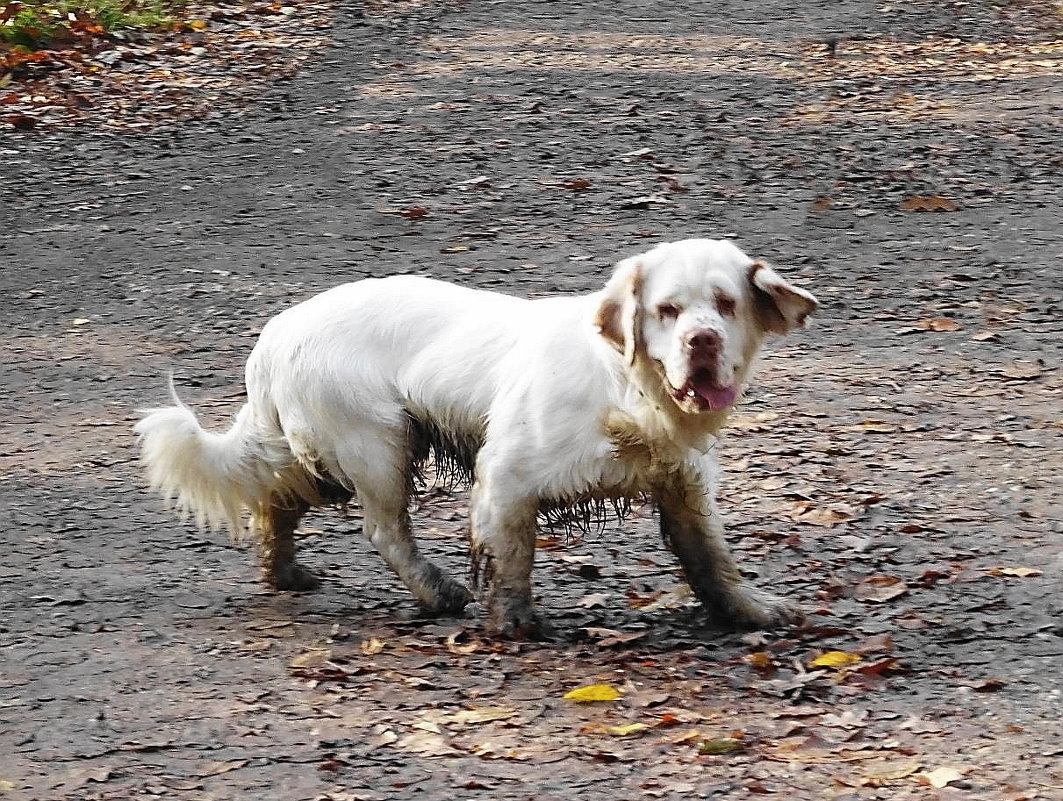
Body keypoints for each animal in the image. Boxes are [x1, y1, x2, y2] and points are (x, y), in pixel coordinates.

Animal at [137, 239, 816, 637]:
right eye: (667, 311)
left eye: (726, 305)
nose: (702, 343)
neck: (630, 391)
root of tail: (278, 330)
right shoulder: (507, 478)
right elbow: (514, 558)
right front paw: (515, 623)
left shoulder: (683, 485)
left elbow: (712, 559)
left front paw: (749, 611)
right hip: (378, 445)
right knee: (385, 531)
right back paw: (437, 593)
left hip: (316, 459)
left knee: (274, 502)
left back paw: (284, 574)